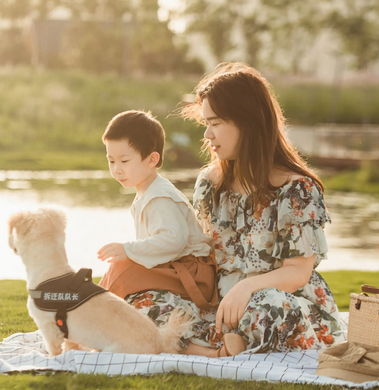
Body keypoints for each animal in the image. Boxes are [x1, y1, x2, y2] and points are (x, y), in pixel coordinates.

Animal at [8, 207, 193, 356]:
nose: (9, 242)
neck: (51, 269)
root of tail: (160, 343)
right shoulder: (67, 333)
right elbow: (70, 346)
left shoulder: (49, 328)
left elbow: (54, 350)